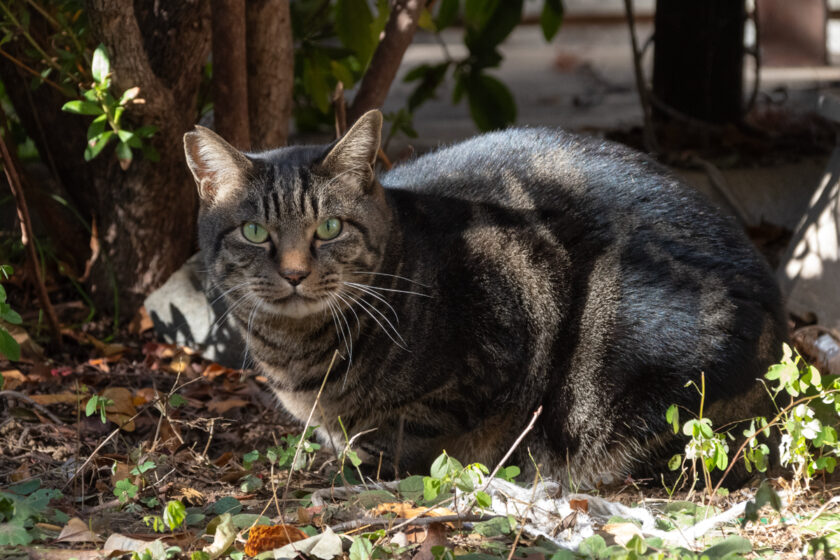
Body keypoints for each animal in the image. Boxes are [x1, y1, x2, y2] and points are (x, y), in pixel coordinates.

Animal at [184, 110, 788, 486]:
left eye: (329, 228)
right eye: (255, 233)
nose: (293, 273)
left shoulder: (489, 355)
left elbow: (405, 433)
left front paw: (350, 472)